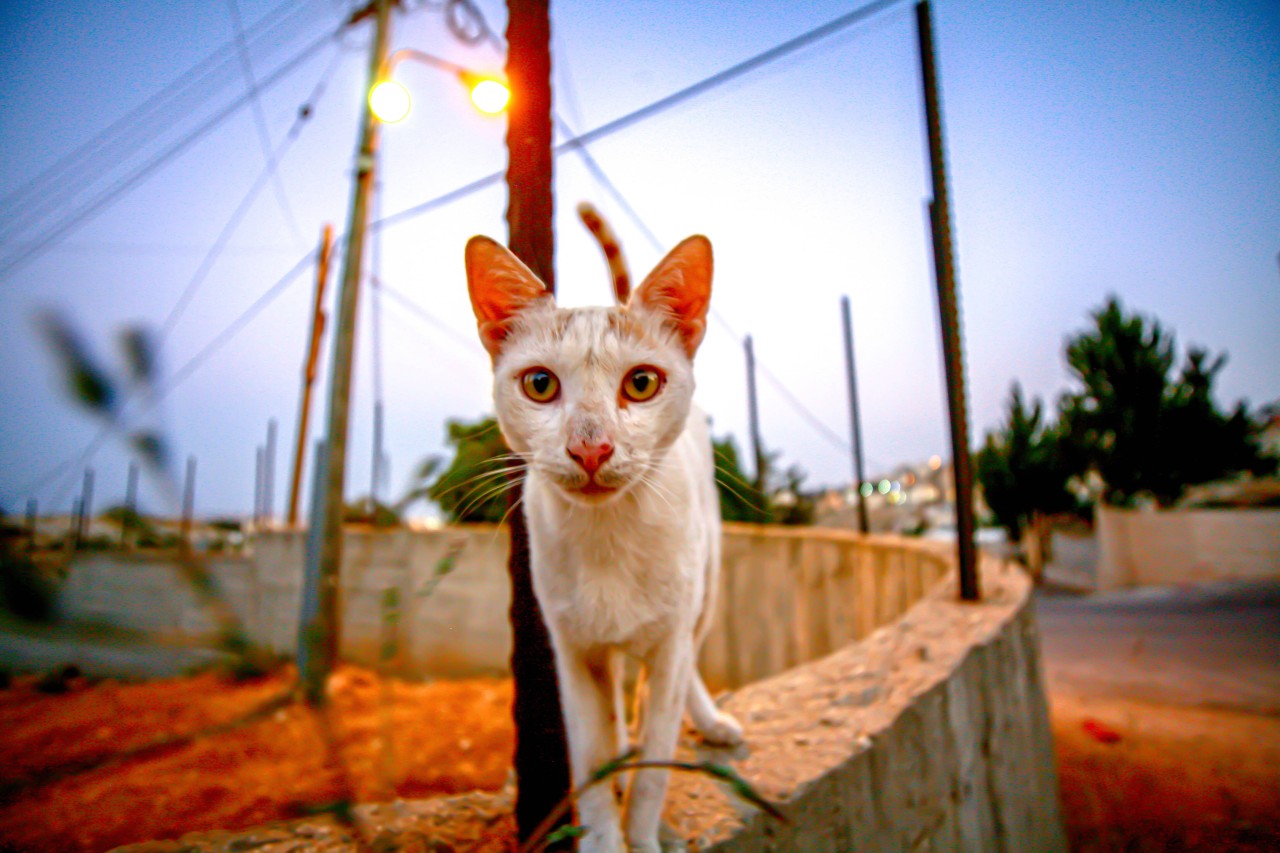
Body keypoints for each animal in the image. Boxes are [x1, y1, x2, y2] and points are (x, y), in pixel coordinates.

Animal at [465, 229, 747, 845]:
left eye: (641, 383)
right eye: (540, 384)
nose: (590, 447)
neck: (608, 538)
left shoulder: (669, 644)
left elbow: (655, 767)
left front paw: (638, 836)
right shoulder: (573, 651)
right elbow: (589, 757)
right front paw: (602, 834)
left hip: (709, 588)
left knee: (686, 665)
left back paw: (706, 721)